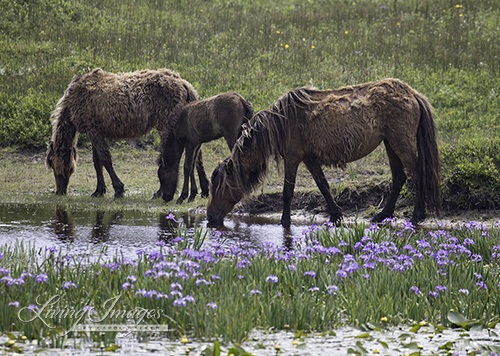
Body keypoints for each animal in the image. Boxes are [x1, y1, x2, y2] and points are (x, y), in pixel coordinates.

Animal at [44, 68, 197, 199]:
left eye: (52, 164)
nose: (60, 191)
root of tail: (184, 84)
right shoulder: (95, 132)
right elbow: (97, 162)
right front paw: (99, 190)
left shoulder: (93, 130)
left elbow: (105, 160)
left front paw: (118, 189)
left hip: (165, 126)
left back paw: (160, 192)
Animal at [207, 79, 442, 227]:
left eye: (218, 187)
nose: (209, 217)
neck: (281, 123)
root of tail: (412, 93)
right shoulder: (310, 159)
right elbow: (323, 185)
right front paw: (336, 215)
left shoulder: (293, 158)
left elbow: (287, 192)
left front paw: (285, 221)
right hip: (389, 143)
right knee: (399, 177)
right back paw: (382, 215)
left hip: (400, 142)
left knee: (417, 173)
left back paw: (417, 215)